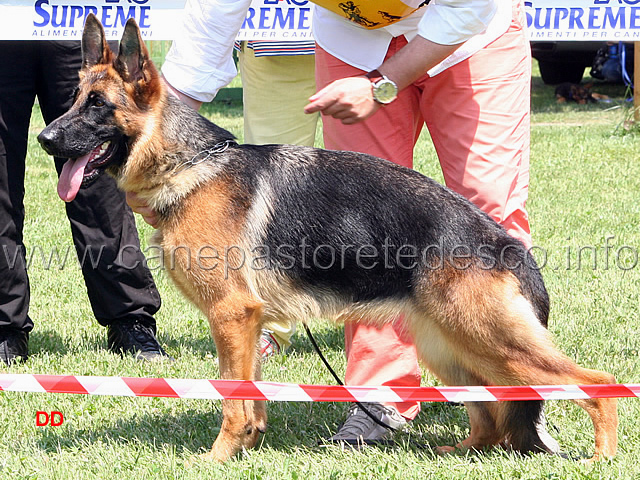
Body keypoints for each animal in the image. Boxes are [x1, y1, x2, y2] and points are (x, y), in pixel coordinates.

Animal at [37, 15, 616, 464]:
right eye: (73, 101)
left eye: (97, 106)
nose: (43, 138)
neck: (192, 165)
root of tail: (506, 245)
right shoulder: (246, 324)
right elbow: (249, 394)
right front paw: (248, 445)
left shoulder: (230, 315)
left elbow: (231, 396)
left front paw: (217, 457)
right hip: (453, 348)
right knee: (491, 411)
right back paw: (462, 452)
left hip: (490, 340)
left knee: (595, 384)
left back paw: (600, 457)